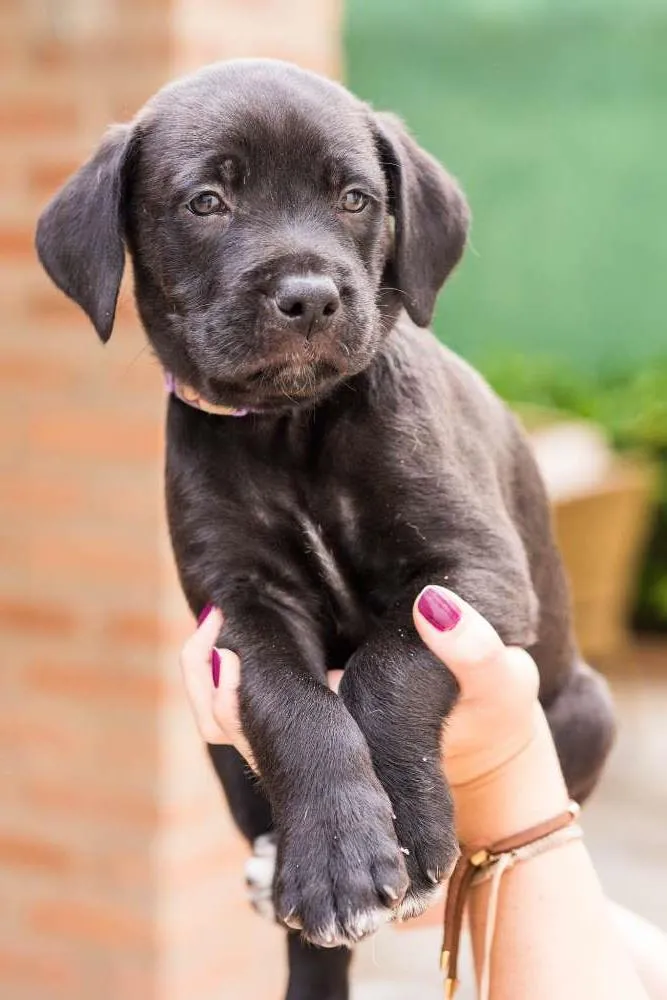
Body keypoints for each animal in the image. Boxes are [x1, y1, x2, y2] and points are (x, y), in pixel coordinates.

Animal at [36, 60, 616, 1000]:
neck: (292, 427)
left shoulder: (474, 573)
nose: (309, 297)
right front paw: (337, 857)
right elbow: (293, 702)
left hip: (589, 708)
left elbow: (389, 666)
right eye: (207, 202)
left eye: (353, 198)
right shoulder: (237, 604)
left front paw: (406, 828)